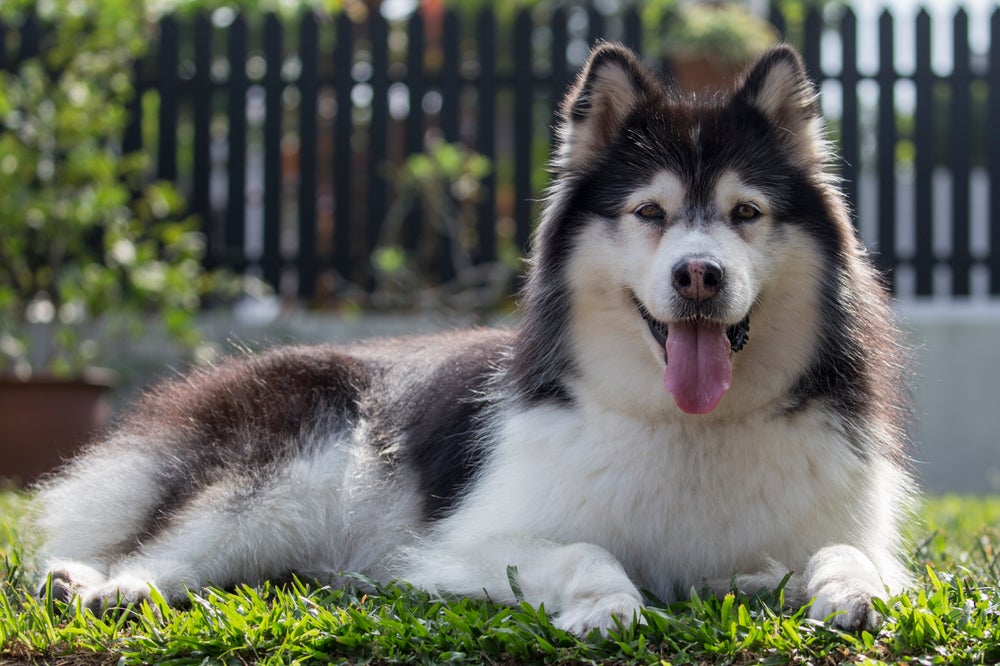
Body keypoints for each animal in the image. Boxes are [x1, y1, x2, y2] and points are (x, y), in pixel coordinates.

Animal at [35, 41, 916, 632]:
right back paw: (102, 584)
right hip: (283, 475)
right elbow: (582, 552)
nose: (699, 275)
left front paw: (850, 591)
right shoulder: (461, 545)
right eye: (650, 212)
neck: (689, 427)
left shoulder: (831, 530)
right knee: (167, 542)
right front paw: (609, 604)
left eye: (744, 212)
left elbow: (849, 554)